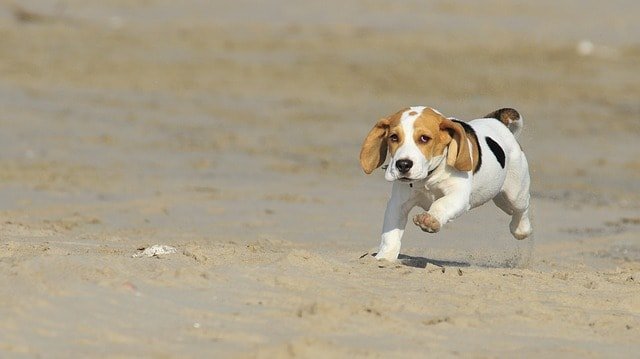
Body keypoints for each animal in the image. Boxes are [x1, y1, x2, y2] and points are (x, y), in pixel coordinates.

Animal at [360, 107, 528, 262]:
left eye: (424, 138)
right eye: (393, 137)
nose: (403, 165)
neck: (429, 177)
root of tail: (496, 121)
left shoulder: (458, 196)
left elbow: (441, 203)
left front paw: (430, 220)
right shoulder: (398, 204)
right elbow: (390, 234)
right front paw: (384, 258)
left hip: (514, 194)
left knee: (522, 209)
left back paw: (521, 229)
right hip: (499, 197)